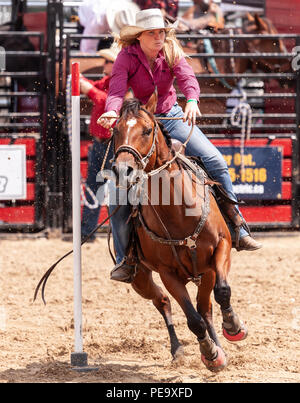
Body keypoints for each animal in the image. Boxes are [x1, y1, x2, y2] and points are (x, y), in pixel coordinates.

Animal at [111, 91, 247, 372]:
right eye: (116, 131)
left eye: (147, 130)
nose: (122, 170)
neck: (179, 210)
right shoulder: (167, 273)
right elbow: (192, 319)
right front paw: (210, 354)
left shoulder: (221, 248)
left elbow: (222, 292)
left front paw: (233, 327)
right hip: (140, 278)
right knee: (163, 302)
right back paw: (180, 350)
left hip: (204, 272)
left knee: (206, 307)